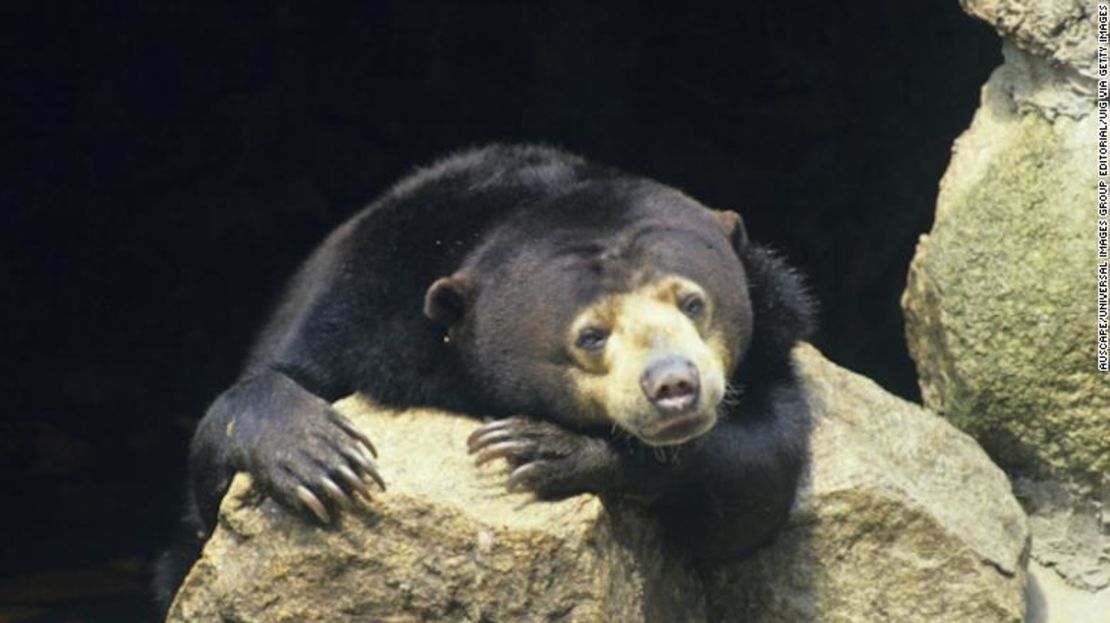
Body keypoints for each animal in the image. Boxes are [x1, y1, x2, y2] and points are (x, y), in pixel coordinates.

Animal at [154, 144, 816, 608]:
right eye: (591, 335)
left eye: (693, 302)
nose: (674, 386)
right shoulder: (349, 307)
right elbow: (213, 471)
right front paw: (321, 457)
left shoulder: (772, 341)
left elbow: (756, 479)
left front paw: (546, 449)